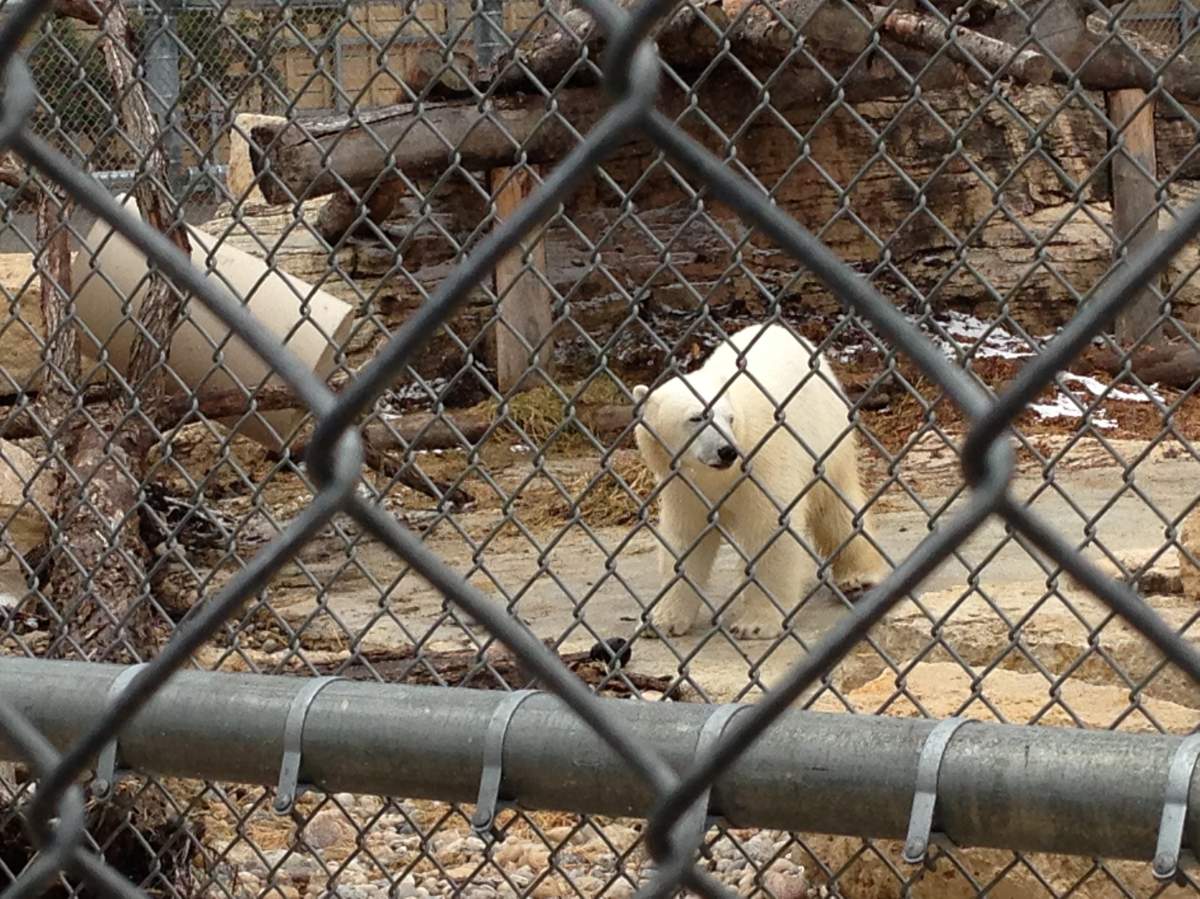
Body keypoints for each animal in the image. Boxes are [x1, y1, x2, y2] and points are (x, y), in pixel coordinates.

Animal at [631, 321, 887, 639]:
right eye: (696, 418)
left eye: (728, 418)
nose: (726, 451)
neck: (720, 476)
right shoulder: (682, 486)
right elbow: (685, 541)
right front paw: (660, 620)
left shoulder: (763, 462)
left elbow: (771, 530)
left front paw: (755, 624)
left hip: (826, 433)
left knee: (835, 505)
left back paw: (860, 577)